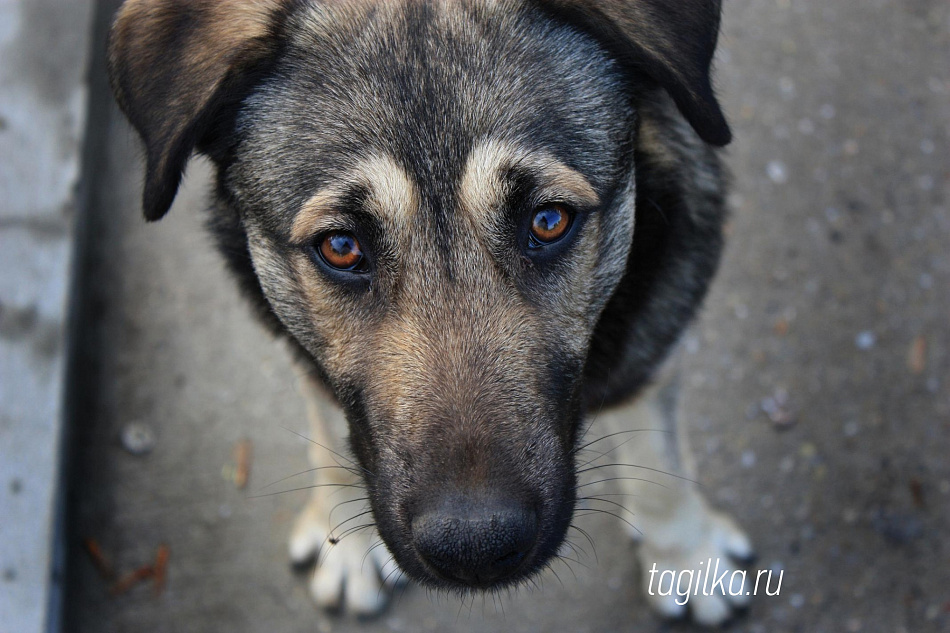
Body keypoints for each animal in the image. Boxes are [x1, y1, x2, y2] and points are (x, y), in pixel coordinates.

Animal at [108, 0, 756, 624]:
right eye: (340, 247)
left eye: (549, 220)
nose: (476, 549)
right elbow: (330, 427)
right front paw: (346, 539)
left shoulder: (655, 330)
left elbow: (659, 454)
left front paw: (686, 558)